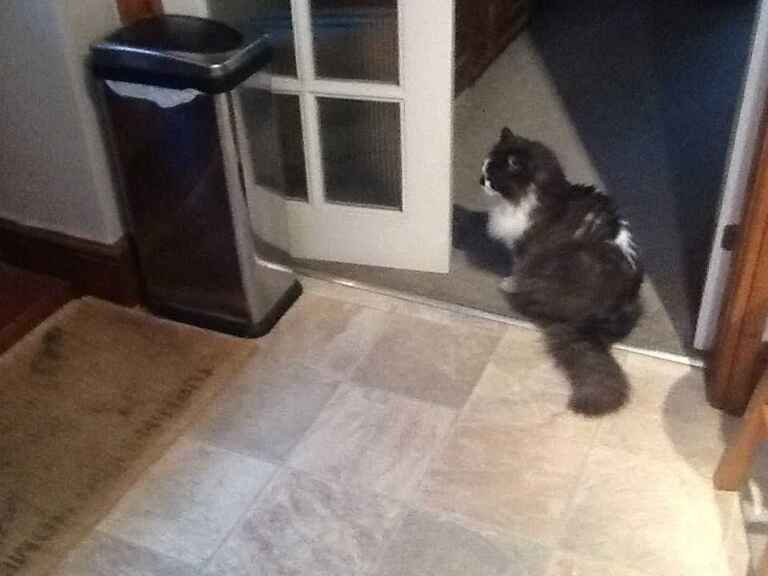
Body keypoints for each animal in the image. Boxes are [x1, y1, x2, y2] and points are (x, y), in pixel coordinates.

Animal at [480, 128, 643, 415]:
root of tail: (594, 319)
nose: (480, 180)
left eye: (492, 177)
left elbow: (517, 269)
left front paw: (508, 282)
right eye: (484, 169)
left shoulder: (525, 248)